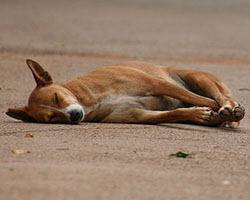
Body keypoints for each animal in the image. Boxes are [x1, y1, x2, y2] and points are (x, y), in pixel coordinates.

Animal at [5, 59, 244, 128]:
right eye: (51, 118)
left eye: (56, 96)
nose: (74, 115)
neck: (91, 99)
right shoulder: (137, 115)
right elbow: (172, 114)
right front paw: (197, 113)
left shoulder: (157, 84)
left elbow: (201, 99)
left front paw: (230, 111)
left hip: (199, 78)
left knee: (218, 97)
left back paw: (230, 108)